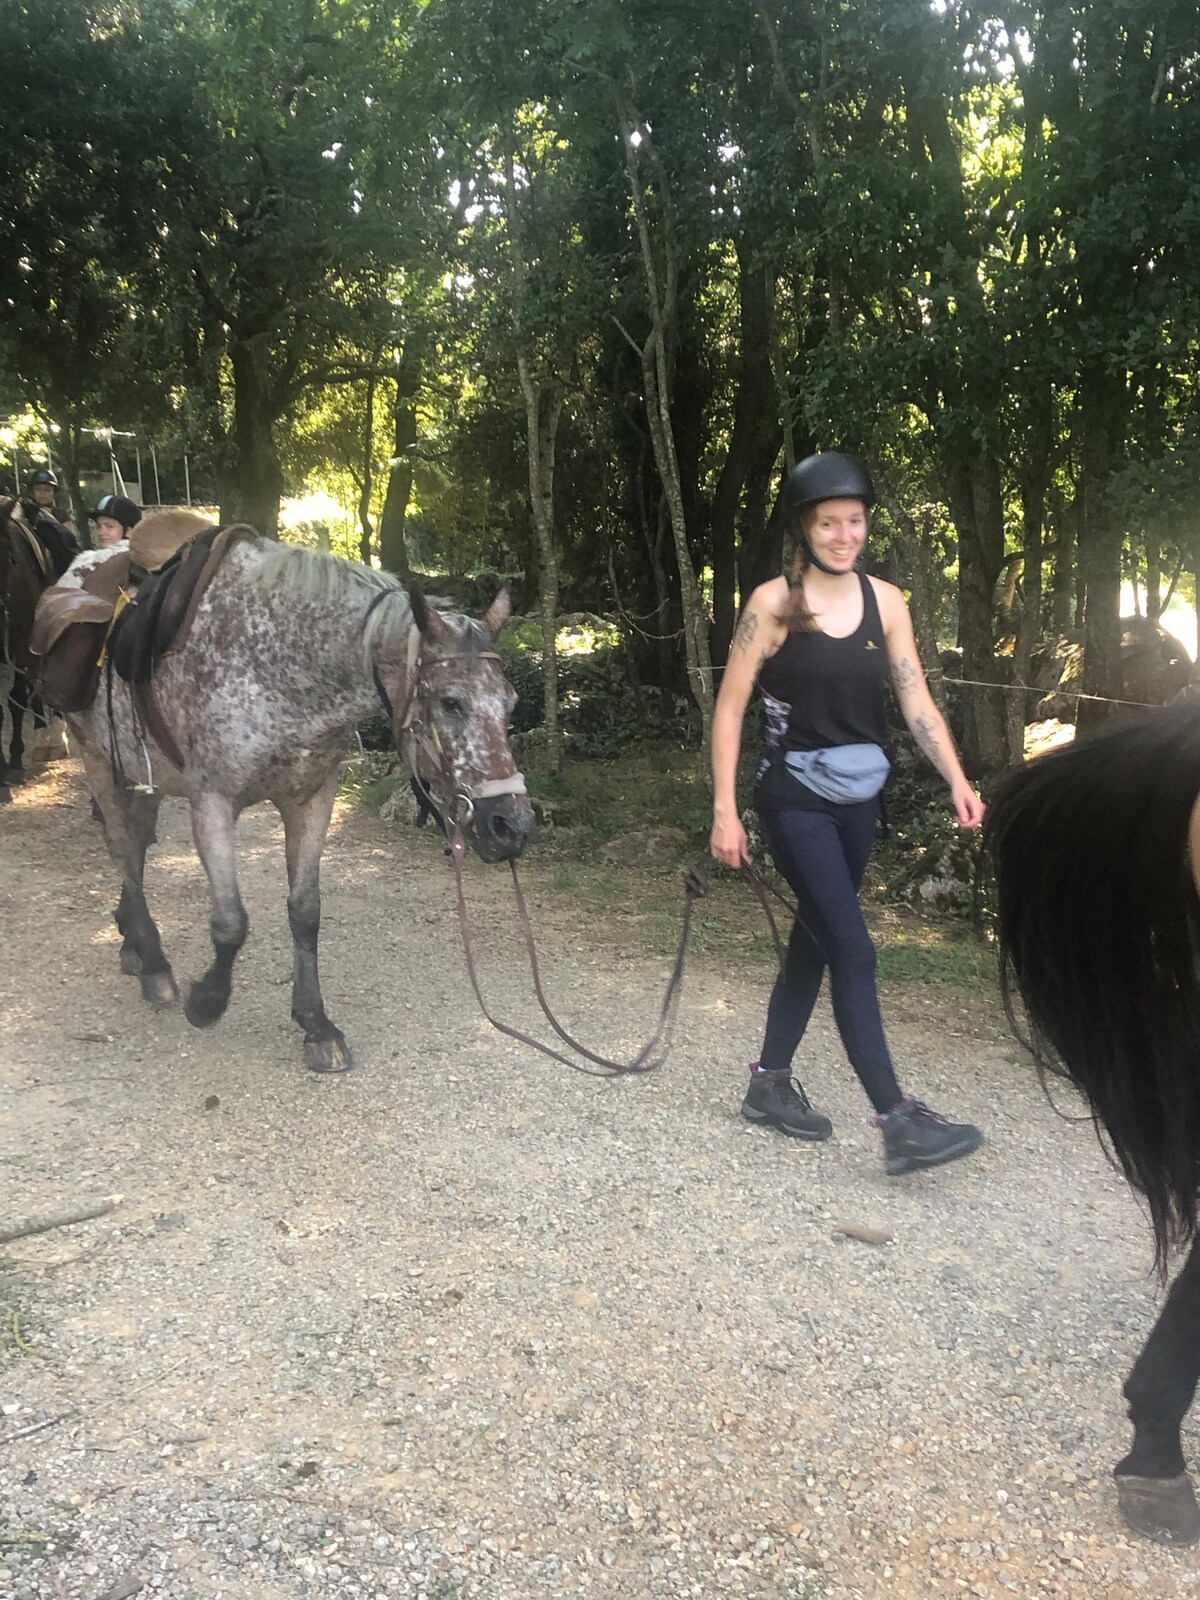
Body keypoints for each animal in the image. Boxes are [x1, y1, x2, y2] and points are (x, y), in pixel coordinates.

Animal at [51, 531, 531, 1068]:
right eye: (451, 703)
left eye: (510, 703)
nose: (511, 825)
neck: (279, 669)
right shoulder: (212, 803)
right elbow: (231, 923)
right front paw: (208, 1000)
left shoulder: (312, 799)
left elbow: (305, 913)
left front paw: (315, 1024)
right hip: (97, 760)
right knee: (123, 851)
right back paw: (153, 962)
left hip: (142, 775)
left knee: (135, 845)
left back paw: (133, 943)